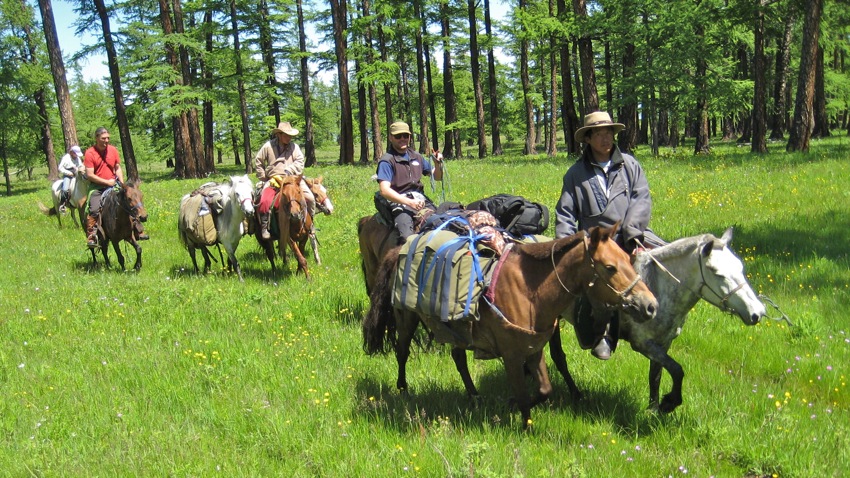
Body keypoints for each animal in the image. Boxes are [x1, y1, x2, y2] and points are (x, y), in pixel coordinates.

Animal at [362, 224, 660, 430]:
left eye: (628, 258)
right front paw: (524, 424)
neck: (531, 292)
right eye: (610, 267)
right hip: (406, 319)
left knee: (458, 358)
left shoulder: (534, 349)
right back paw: (403, 390)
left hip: (458, 331)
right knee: (402, 352)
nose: (650, 305)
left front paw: (512, 405)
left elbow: (544, 390)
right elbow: (524, 393)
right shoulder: (512, 355)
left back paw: (474, 395)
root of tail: (400, 248)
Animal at [548, 226, 764, 412]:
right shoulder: (643, 343)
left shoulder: (663, 343)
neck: (659, 286)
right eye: (717, 273)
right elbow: (677, 369)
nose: (757, 312)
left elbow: (656, 375)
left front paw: (653, 409)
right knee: (558, 356)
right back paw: (575, 393)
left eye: (740, 267)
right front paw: (669, 403)